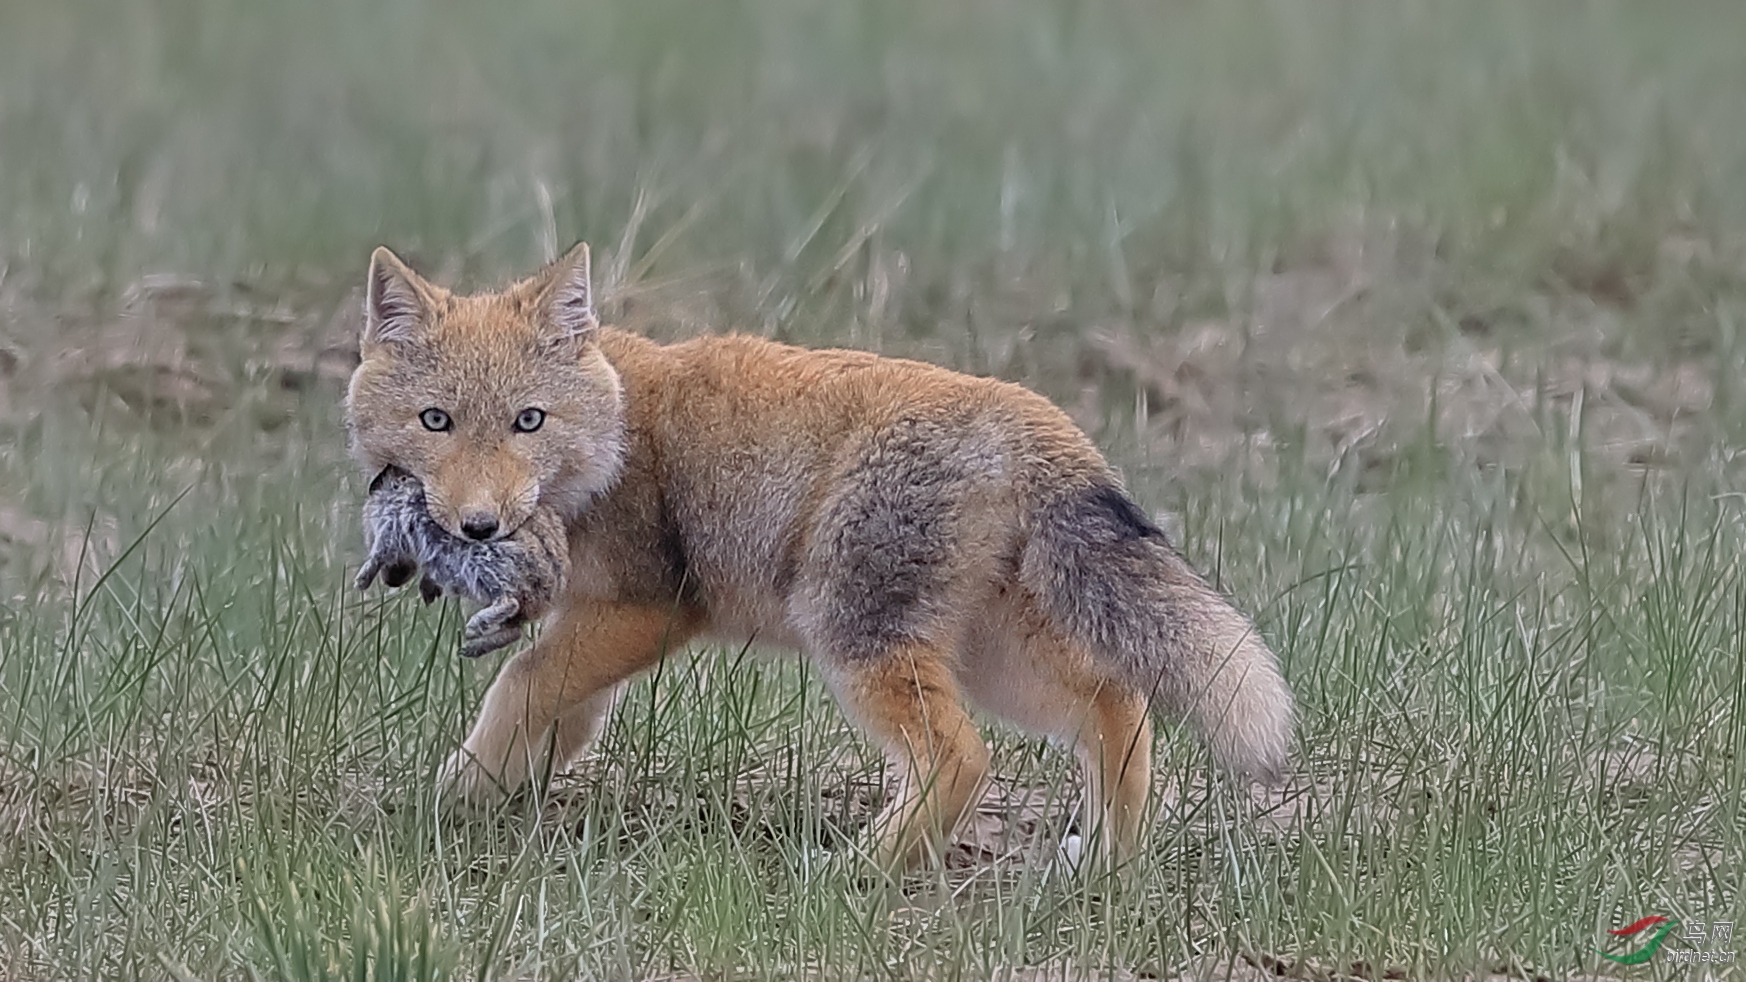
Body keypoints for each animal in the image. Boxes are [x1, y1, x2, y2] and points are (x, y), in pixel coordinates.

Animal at [354, 464, 572, 656]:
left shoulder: (390, 528)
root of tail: (548, 594)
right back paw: (470, 649)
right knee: (514, 630)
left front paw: (360, 582)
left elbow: (378, 554)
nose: (392, 581)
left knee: (509, 603)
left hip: (484, 565)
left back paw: (473, 628)